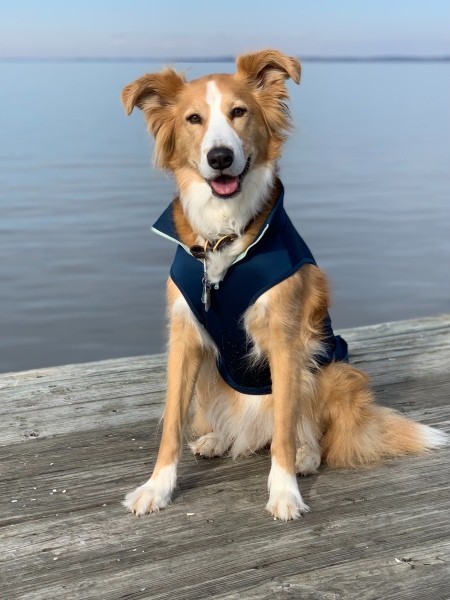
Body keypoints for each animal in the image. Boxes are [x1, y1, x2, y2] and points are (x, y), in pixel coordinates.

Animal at [121, 49, 448, 516]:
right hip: (213, 375)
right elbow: (171, 423)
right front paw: (157, 487)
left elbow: (286, 427)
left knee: (304, 430)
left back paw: (306, 456)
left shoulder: (286, 336)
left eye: (239, 112)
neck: (224, 237)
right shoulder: (184, 335)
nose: (220, 157)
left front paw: (285, 490)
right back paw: (217, 438)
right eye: (193, 119)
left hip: (331, 370)